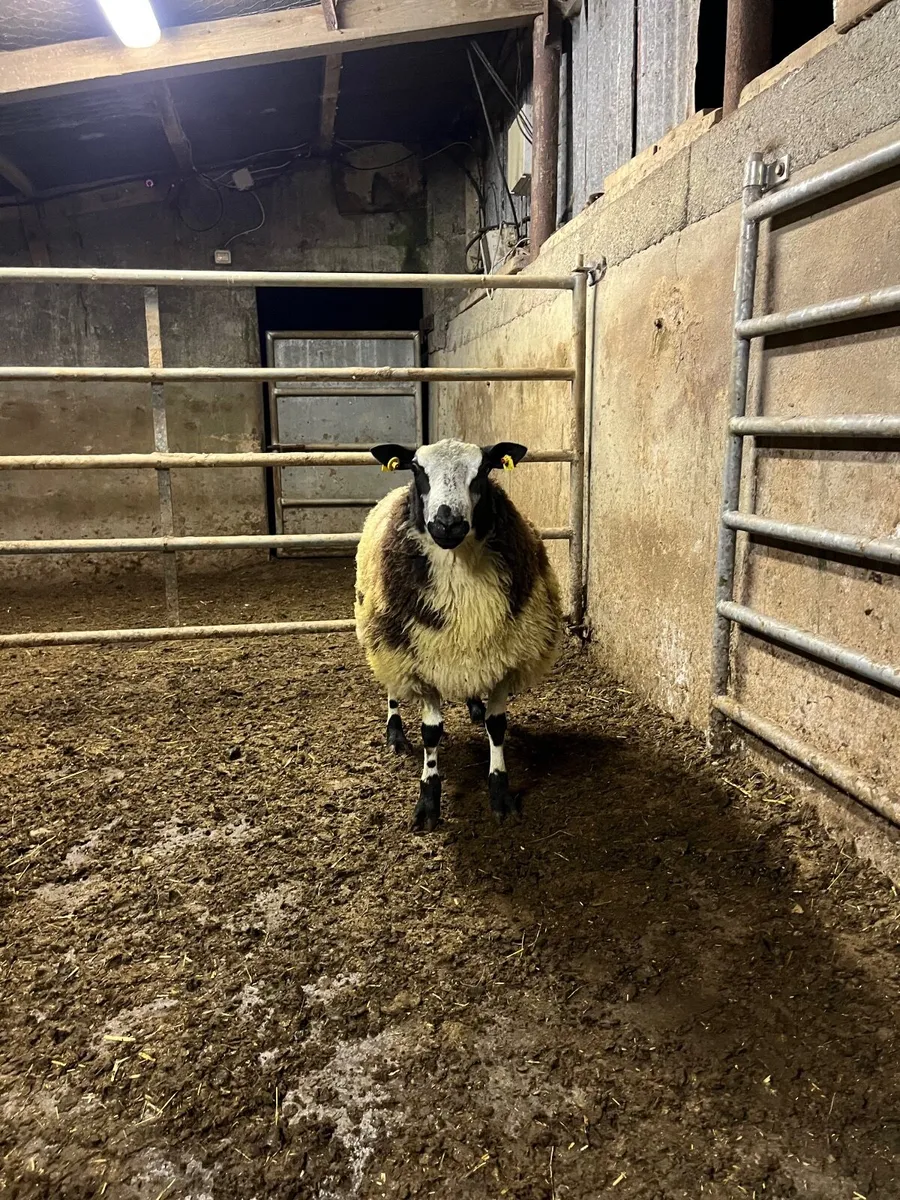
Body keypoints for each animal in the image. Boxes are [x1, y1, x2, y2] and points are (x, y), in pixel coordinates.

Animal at [355, 437, 563, 831]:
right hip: (385, 636)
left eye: (483, 469)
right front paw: (428, 802)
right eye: (416, 469)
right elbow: (431, 734)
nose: (447, 523)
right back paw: (395, 734)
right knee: (392, 689)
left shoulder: (503, 658)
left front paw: (500, 794)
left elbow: (498, 726)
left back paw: (474, 706)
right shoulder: (419, 660)